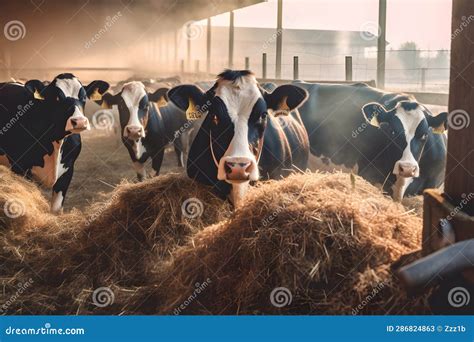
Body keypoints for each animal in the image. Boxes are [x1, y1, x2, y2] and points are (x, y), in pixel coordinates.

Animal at [0, 74, 109, 212]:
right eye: (57, 97)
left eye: (83, 97)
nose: (79, 121)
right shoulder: (18, 167)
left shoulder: (67, 171)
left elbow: (56, 210)